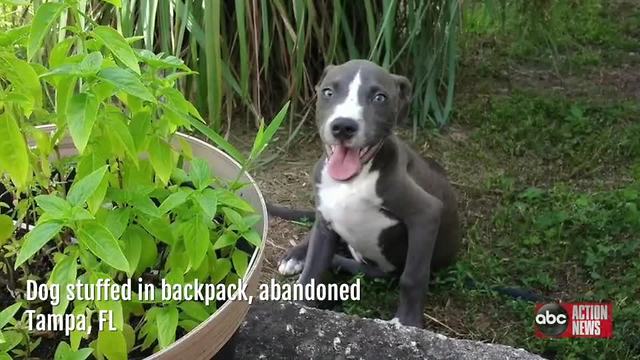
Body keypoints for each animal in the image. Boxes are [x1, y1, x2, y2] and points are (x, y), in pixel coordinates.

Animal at [276, 59, 460, 330]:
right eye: (328, 92)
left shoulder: (426, 213)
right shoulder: (326, 217)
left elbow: (413, 276)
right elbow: (313, 266)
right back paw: (296, 256)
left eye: (380, 98)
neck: (353, 180)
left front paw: (407, 322)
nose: (343, 126)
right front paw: (299, 305)